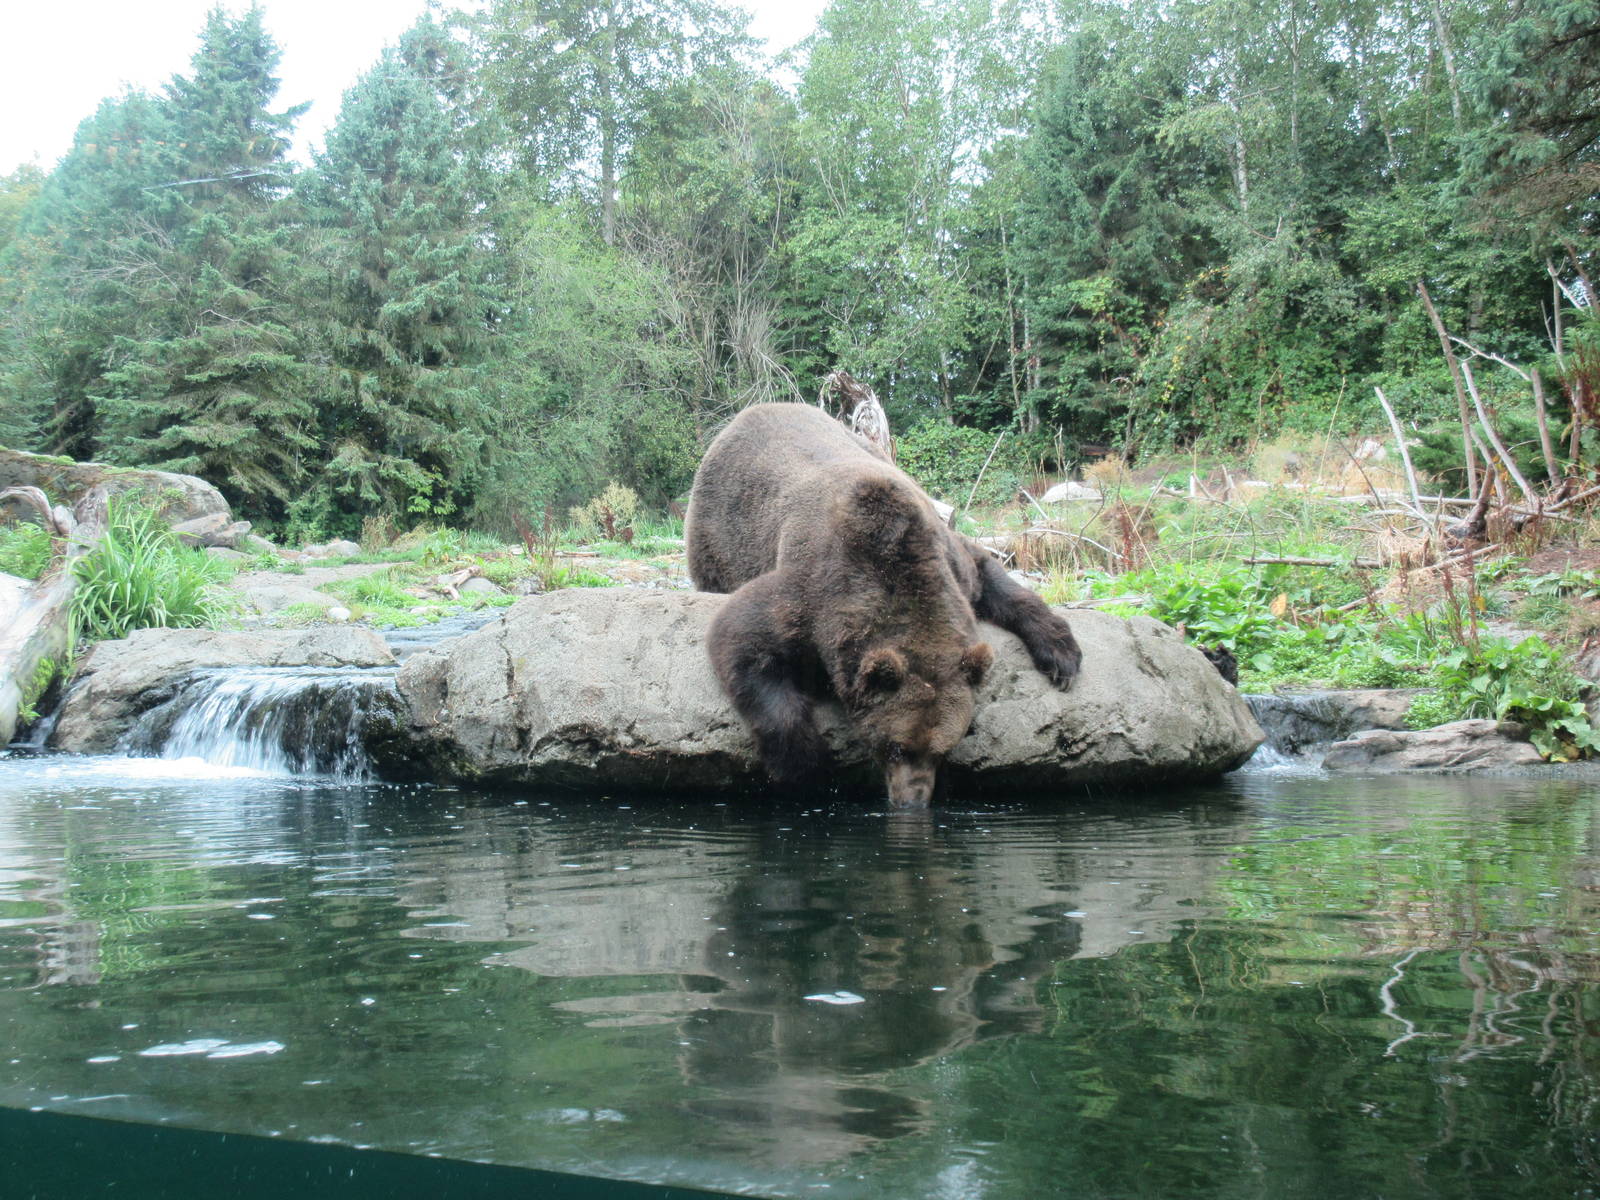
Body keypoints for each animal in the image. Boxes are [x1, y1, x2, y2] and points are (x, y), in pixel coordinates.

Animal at [686, 403, 1082, 807]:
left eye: (940, 751)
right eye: (895, 748)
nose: (913, 800)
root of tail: (749, 414)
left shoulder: (950, 564)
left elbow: (991, 574)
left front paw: (1061, 655)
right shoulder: (810, 595)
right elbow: (742, 640)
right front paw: (807, 771)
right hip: (720, 534)